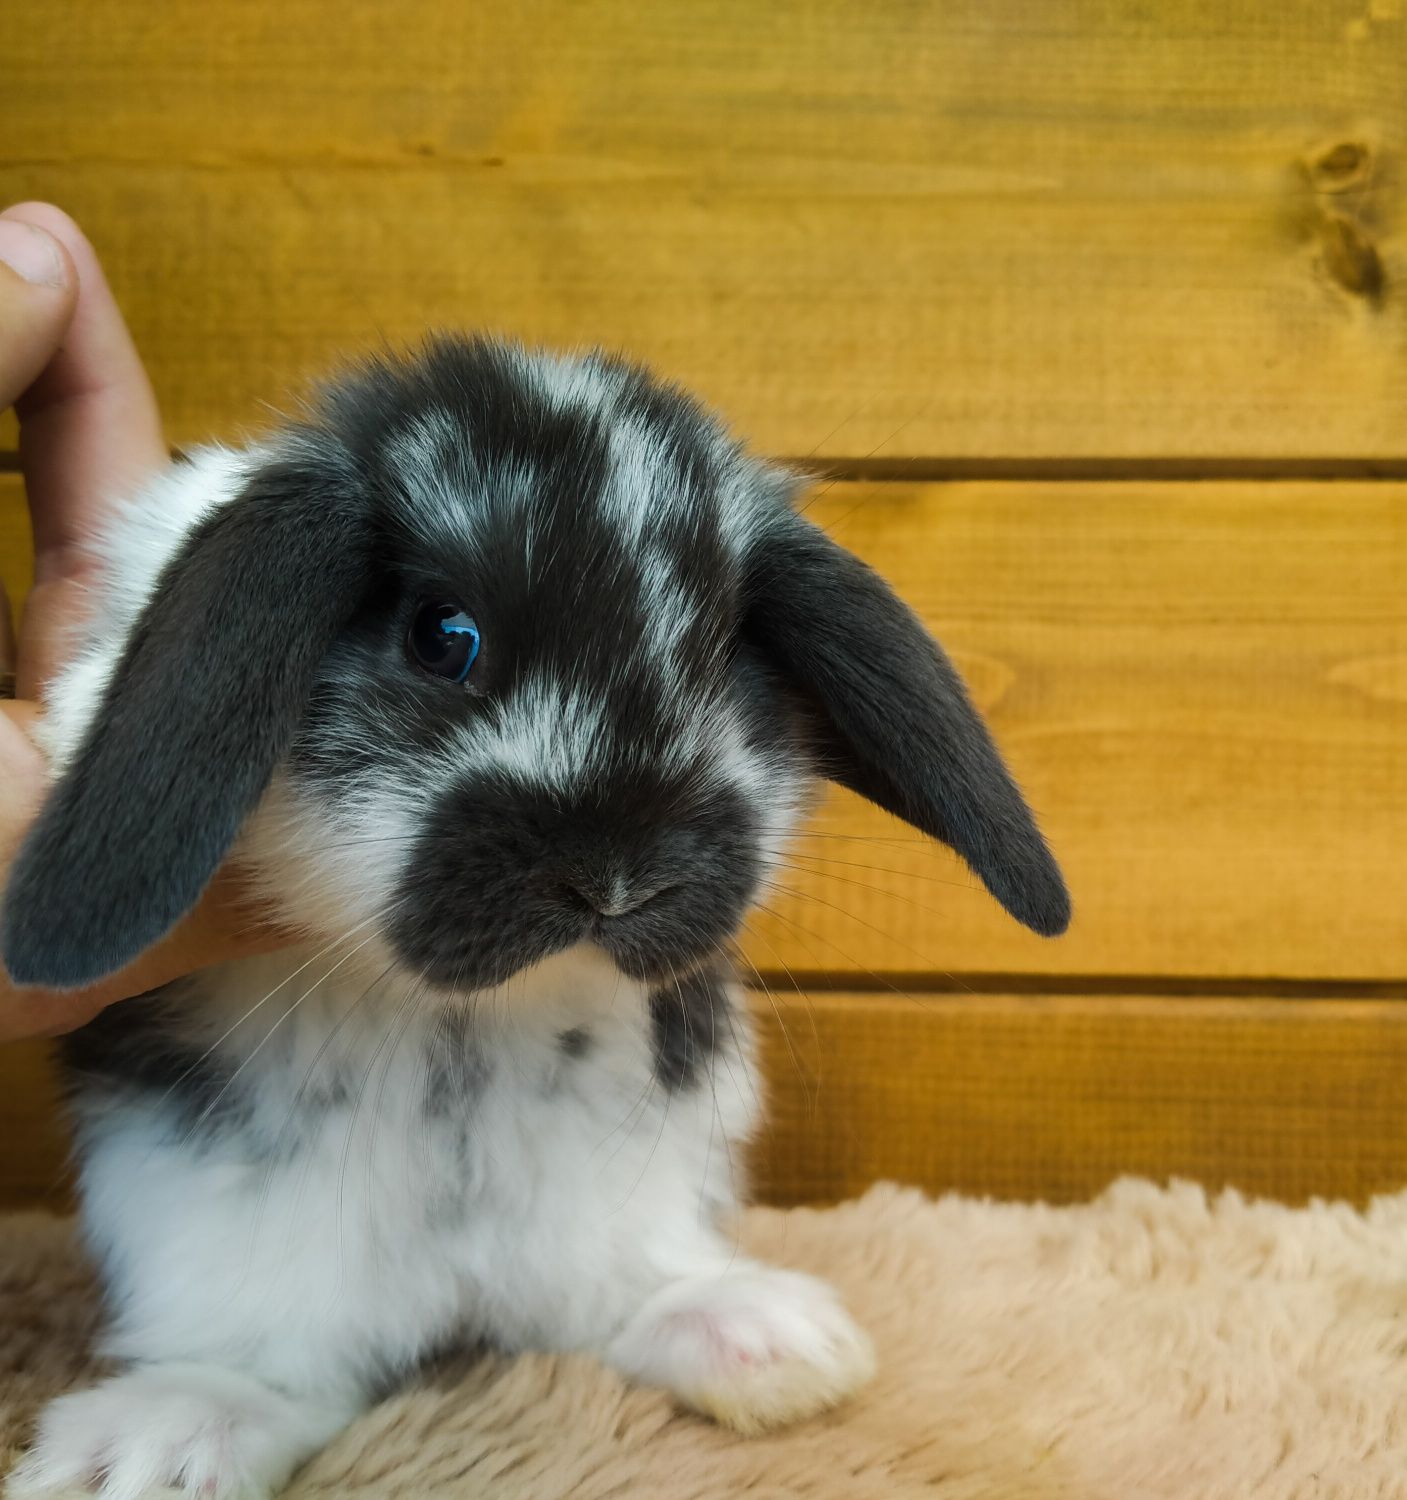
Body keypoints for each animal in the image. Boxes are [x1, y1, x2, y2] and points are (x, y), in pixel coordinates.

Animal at [0, 340, 1062, 1500]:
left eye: (718, 655)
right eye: (442, 636)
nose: (615, 880)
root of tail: (465, 1285)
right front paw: (73, 716)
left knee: (613, 1308)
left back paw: (760, 1340)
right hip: (215, 1233)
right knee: (280, 1371)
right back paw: (161, 1440)